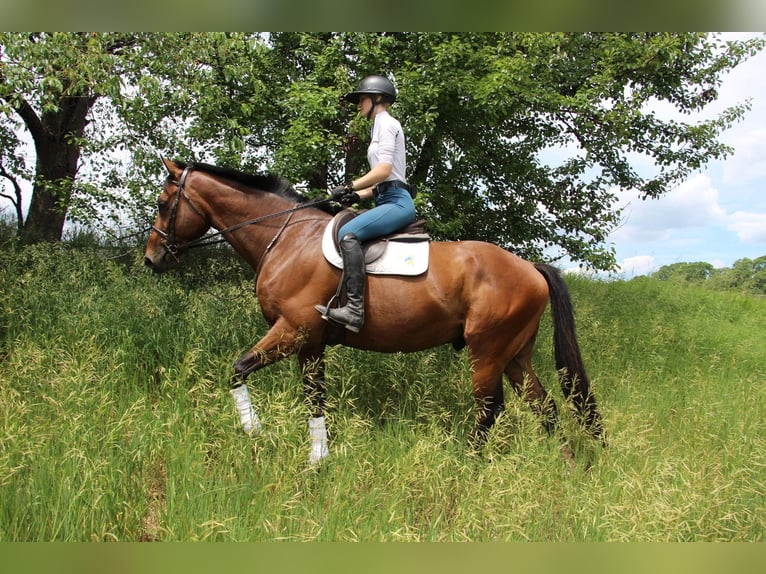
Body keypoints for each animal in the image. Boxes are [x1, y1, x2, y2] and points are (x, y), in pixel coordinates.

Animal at [146, 159, 608, 468]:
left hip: (488, 352)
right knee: (544, 407)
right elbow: (315, 399)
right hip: (515, 355)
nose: (152, 259)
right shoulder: (311, 344)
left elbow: (237, 370)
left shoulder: (293, 331)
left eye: (164, 203)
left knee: (490, 409)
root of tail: (529, 267)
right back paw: (563, 464)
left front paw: (253, 430)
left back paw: (467, 465)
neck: (287, 239)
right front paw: (319, 458)